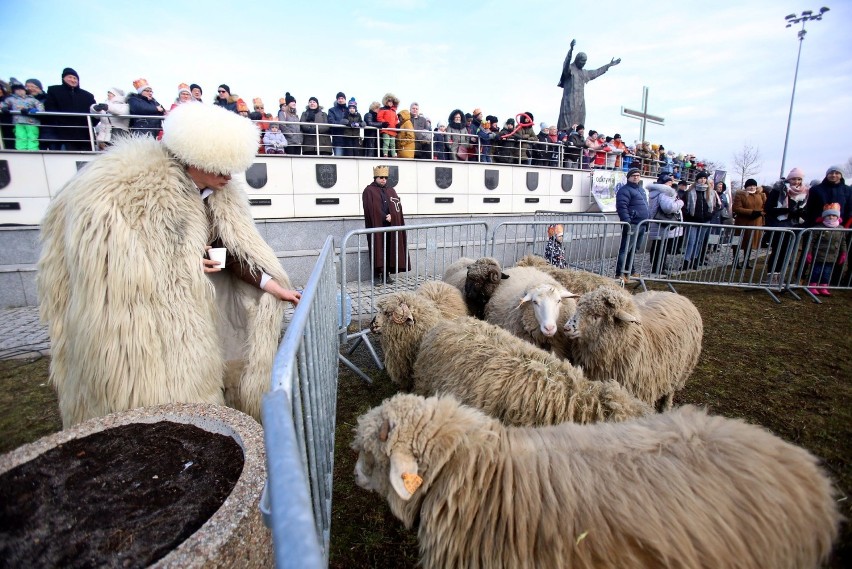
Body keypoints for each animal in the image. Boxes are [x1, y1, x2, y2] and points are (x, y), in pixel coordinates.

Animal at [564, 286, 700, 410]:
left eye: (596, 315)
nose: (566, 328)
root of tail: (677, 294)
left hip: (682, 368)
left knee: (671, 390)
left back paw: (666, 407)